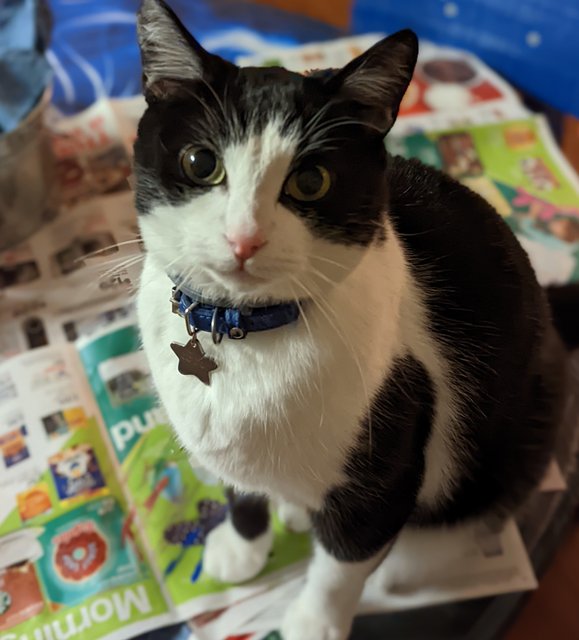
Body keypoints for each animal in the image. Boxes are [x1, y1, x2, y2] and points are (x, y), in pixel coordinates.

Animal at [134, 1, 568, 638]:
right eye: (200, 162)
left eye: (311, 181)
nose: (244, 239)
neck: (241, 331)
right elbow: (241, 491)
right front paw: (242, 548)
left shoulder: (385, 467)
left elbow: (342, 564)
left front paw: (313, 623)